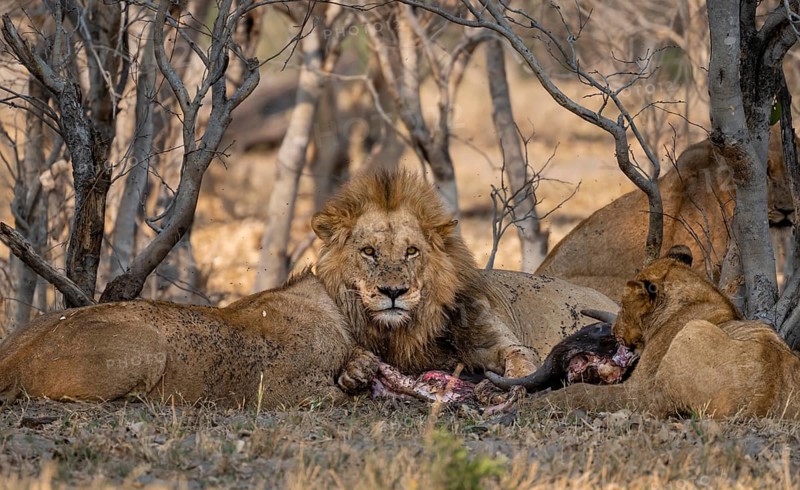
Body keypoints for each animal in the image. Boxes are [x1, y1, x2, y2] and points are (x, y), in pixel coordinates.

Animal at [310, 170, 619, 391]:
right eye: (368, 251)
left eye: (411, 251)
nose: (393, 291)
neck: (409, 329)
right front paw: (355, 370)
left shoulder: (497, 340)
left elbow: (519, 360)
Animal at [527, 246, 800, 419]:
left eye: (623, 304)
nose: (614, 331)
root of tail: (762, 401)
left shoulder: (637, 389)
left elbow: (581, 391)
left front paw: (537, 402)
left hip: (688, 339)